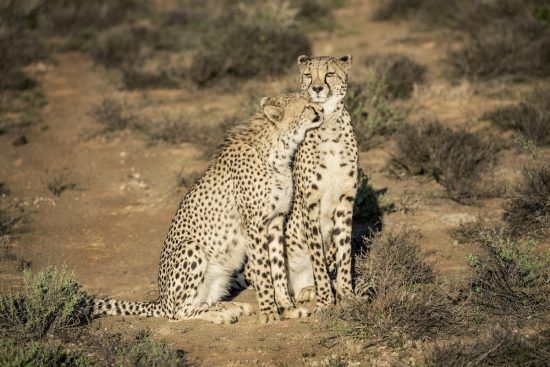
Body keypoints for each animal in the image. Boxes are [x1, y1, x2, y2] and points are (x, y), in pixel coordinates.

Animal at [91, 92, 324, 324]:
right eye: (307, 106)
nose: (321, 110)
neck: (279, 150)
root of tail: (161, 299)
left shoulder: (275, 221)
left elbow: (278, 269)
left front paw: (287, 308)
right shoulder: (254, 226)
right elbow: (263, 272)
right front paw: (269, 313)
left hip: (221, 273)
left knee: (204, 301)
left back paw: (232, 307)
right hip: (192, 248)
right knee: (178, 313)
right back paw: (221, 313)